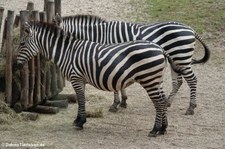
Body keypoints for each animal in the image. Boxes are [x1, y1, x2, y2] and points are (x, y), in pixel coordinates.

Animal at [16, 21, 184, 137]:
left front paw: (80, 122)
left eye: (22, 43)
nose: (15, 65)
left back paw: (155, 129)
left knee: (159, 102)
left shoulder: (76, 78)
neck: (67, 52)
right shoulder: (81, 79)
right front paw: (79, 120)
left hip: (149, 79)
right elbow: (81, 100)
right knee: (162, 100)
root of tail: (160, 49)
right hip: (156, 80)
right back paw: (163, 128)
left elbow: (81, 99)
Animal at [53, 13, 210, 114]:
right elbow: (118, 82)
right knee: (178, 81)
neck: (100, 35)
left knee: (192, 80)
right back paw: (167, 102)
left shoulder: (110, 58)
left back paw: (191, 108)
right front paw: (123, 102)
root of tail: (191, 29)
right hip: (176, 60)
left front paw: (115, 104)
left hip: (181, 57)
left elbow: (114, 83)